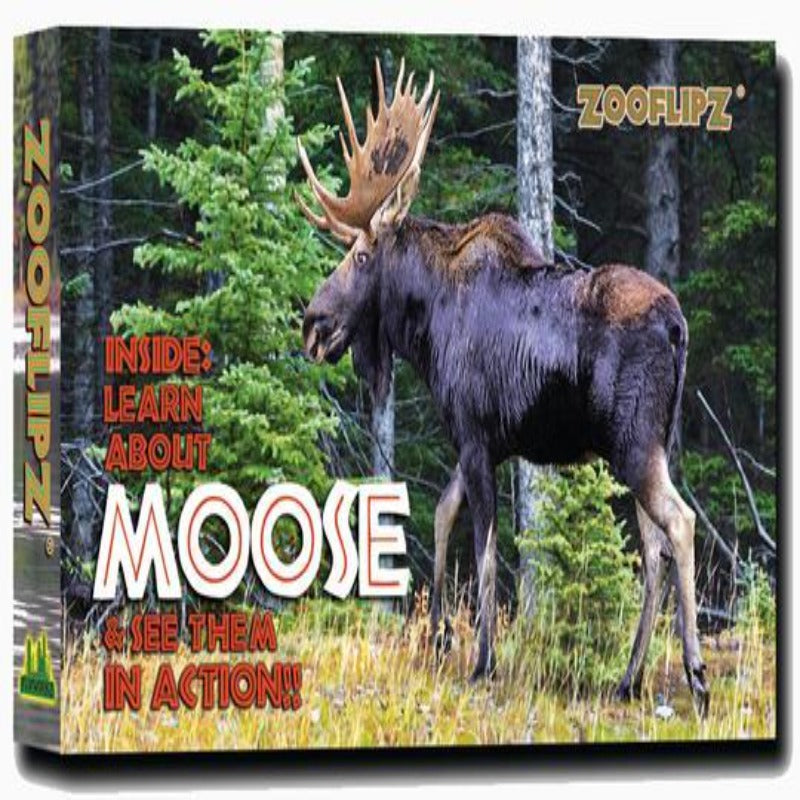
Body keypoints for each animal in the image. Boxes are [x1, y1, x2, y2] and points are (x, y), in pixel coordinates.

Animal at [295, 59, 709, 713]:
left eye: (360, 256)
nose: (313, 324)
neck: (426, 329)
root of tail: (677, 326)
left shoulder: (473, 436)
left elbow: (486, 548)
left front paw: (482, 660)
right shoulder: (484, 443)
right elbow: (443, 515)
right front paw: (439, 637)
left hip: (634, 442)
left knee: (679, 524)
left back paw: (695, 673)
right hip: (649, 445)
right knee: (654, 547)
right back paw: (628, 680)